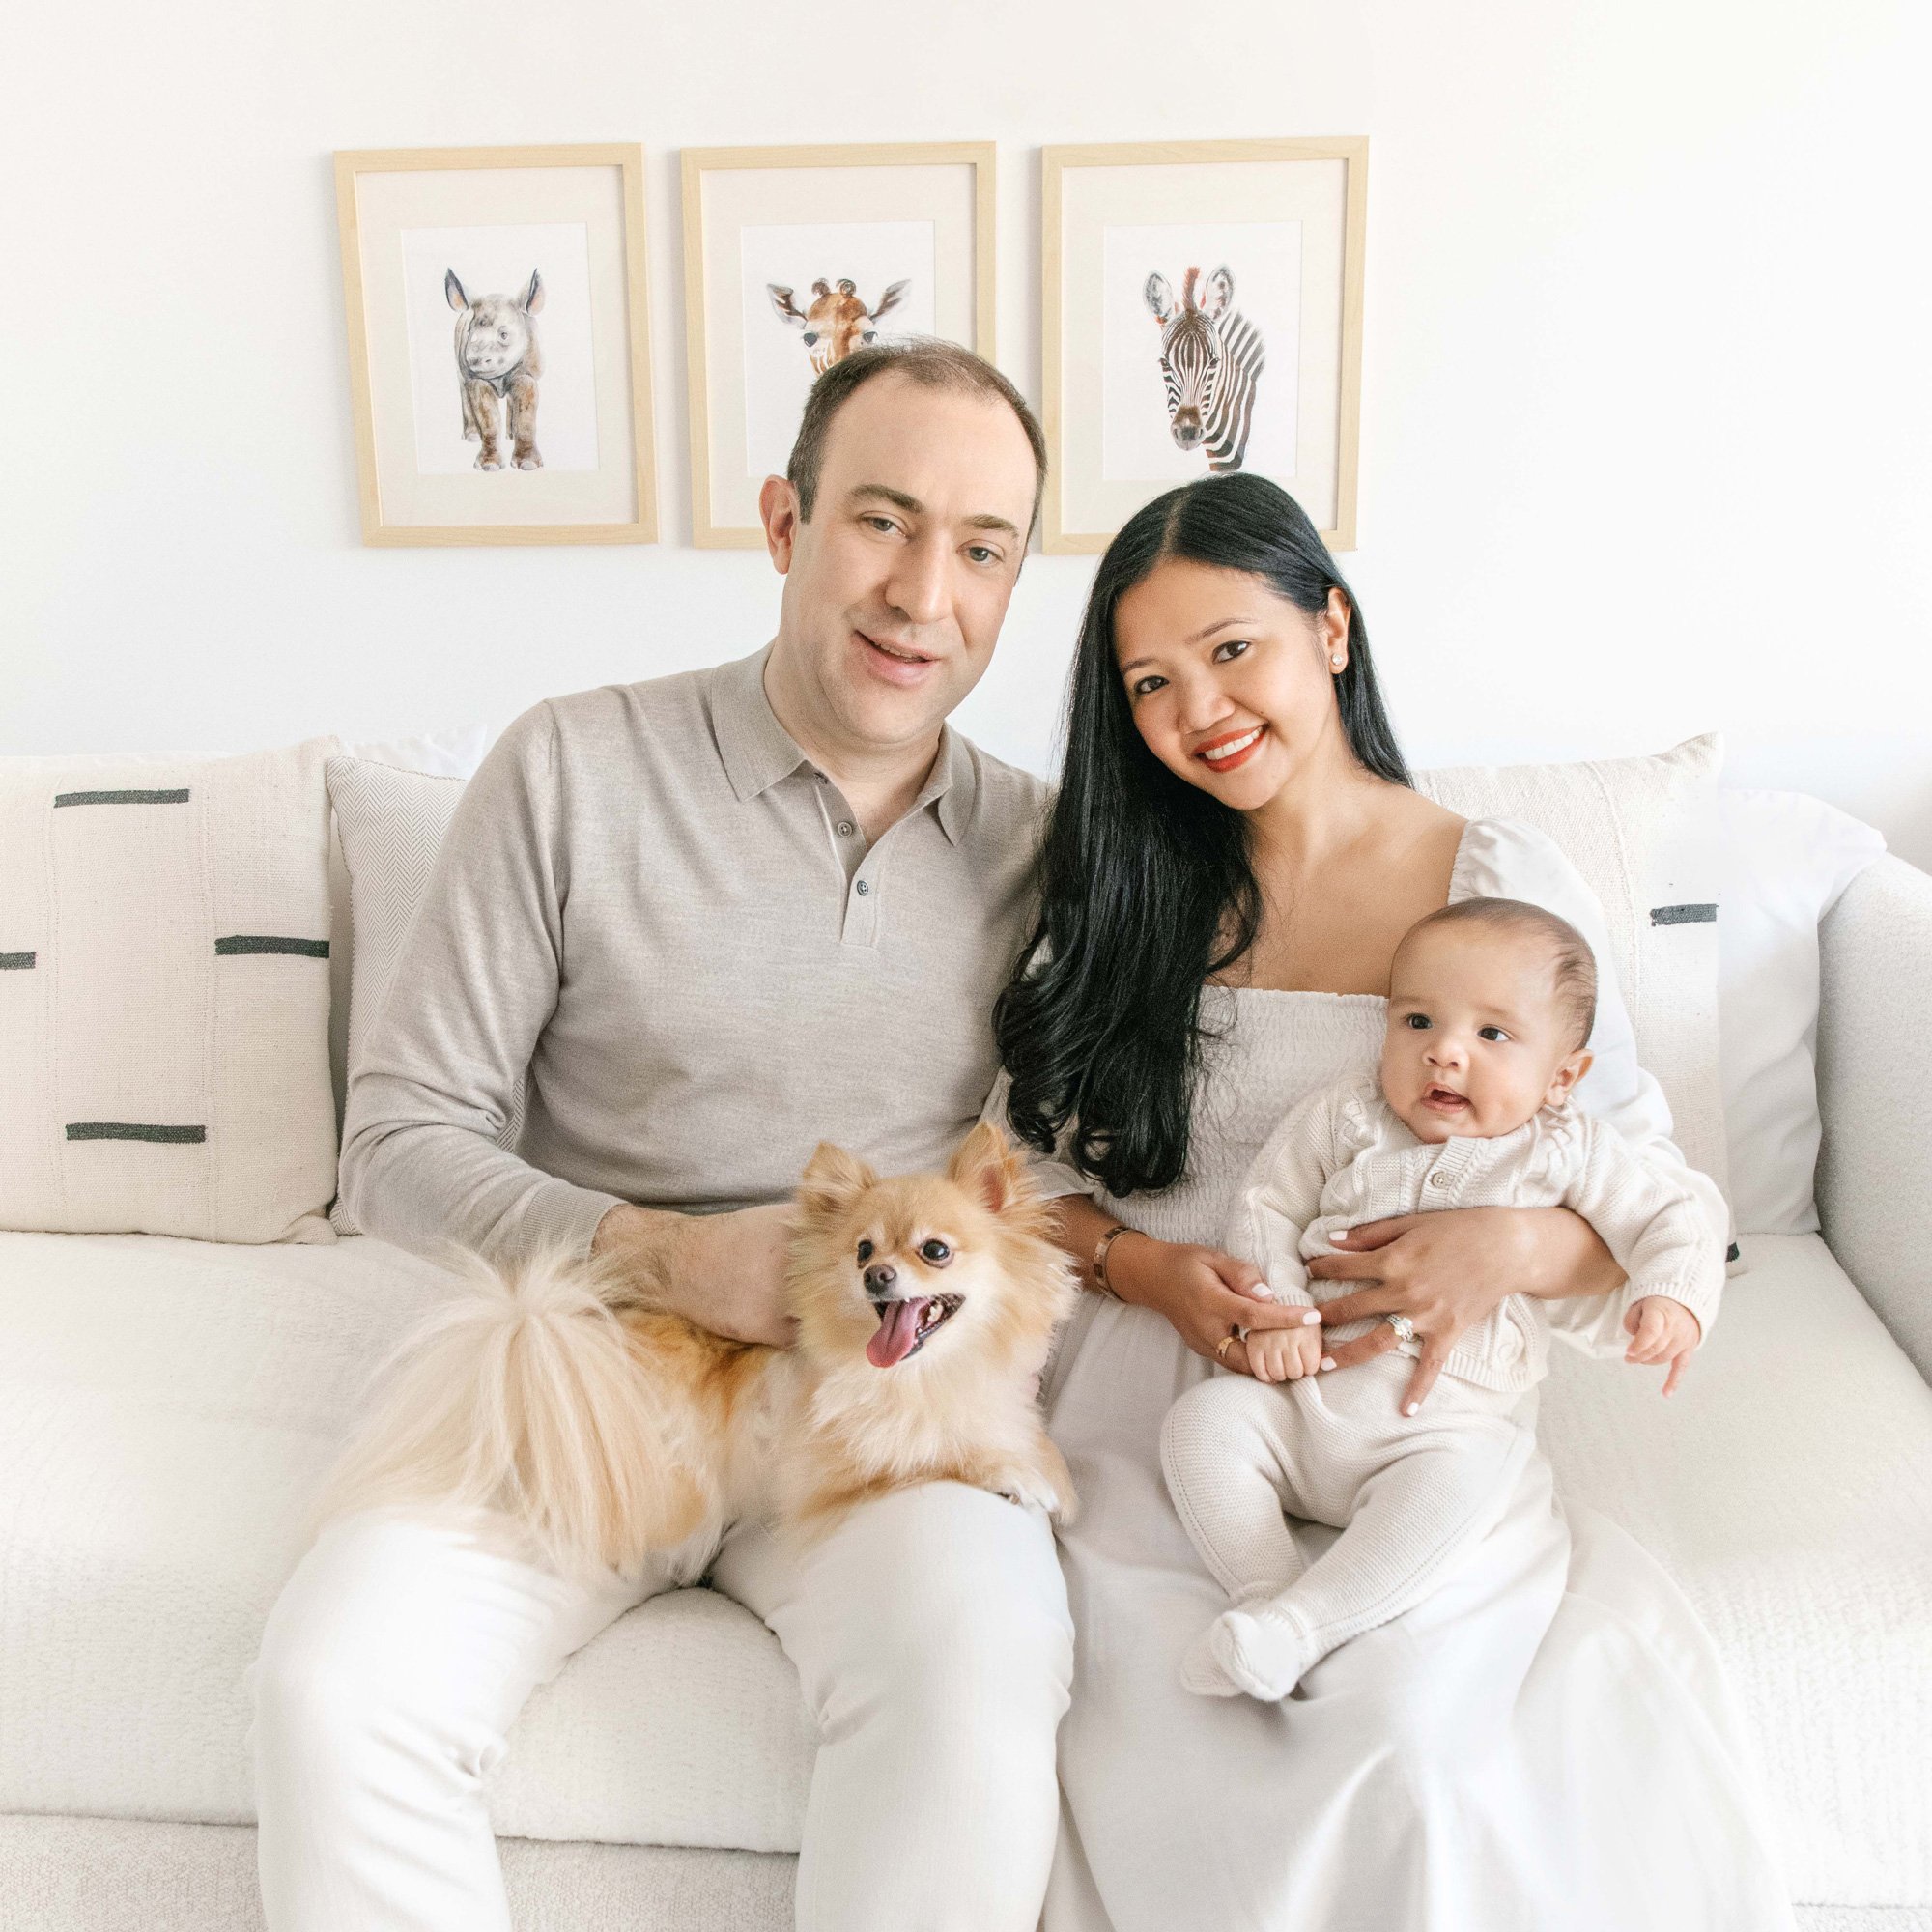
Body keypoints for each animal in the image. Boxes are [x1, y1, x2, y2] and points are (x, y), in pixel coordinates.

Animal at [309, 1121, 1082, 1584]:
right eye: (864, 1251)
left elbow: (1003, 1428)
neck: (924, 1375)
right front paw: (1020, 1475)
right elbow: (932, 1449)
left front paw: (1048, 1468)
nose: (876, 1277)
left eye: (934, 1251)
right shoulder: (835, 1462)